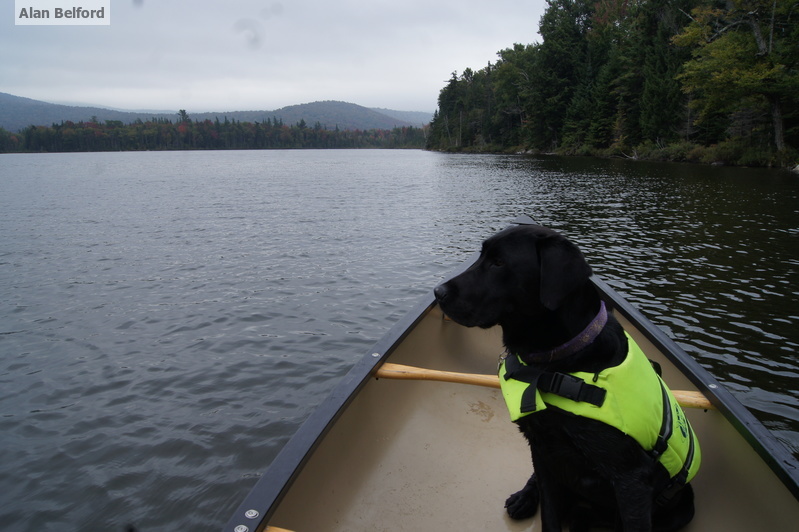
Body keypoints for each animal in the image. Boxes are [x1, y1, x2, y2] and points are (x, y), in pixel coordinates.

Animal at [434, 225, 696, 532]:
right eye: (482, 256)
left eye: (499, 263)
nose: (437, 292)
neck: (557, 363)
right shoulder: (543, 452)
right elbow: (549, 515)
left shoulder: (631, 480)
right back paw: (524, 498)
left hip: (683, 506)